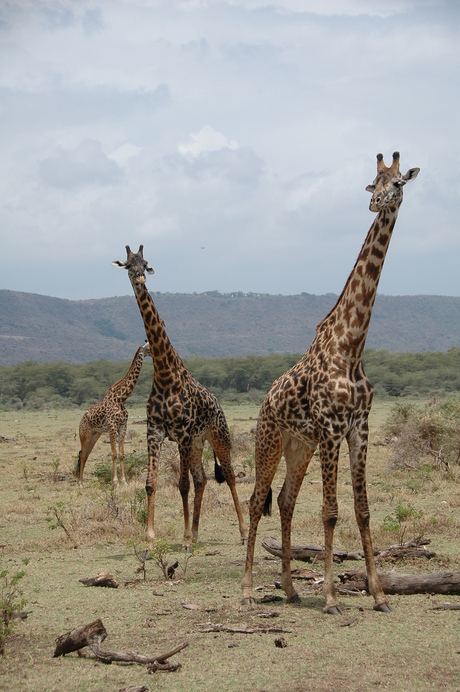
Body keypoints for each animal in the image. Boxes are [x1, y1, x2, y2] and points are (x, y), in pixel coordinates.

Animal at [76, 342, 150, 484]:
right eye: (148, 348)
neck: (120, 399)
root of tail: (81, 420)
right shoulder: (112, 426)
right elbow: (114, 454)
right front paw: (115, 481)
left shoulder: (123, 426)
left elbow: (121, 454)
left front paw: (124, 480)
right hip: (85, 433)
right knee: (82, 454)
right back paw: (80, 482)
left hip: (95, 434)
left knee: (86, 453)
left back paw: (81, 480)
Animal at [110, 246, 248, 548]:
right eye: (127, 264)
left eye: (145, 263)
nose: (140, 279)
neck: (164, 374)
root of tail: (218, 405)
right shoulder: (156, 431)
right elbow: (151, 483)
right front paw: (150, 537)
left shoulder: (182, 433)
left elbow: (182, 485)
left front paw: (183, 538)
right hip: (197, 444)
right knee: (202, 479)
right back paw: (196, 533)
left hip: (218, 436)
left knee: (230, 476)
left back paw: (242, 532)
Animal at [243, 150, 418, 612]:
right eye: (373, 182)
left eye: (398, 183)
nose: (375, 202)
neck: (351, 346)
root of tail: (265, 402)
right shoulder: (331, 429)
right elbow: (331, 511)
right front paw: (332, 598)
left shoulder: (359, 428)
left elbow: (362, 510)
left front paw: (379, 594)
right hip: (270, 440)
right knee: (256, 500)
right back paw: (248, 589)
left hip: (299, 447)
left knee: (284, 500)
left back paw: (289, 588)